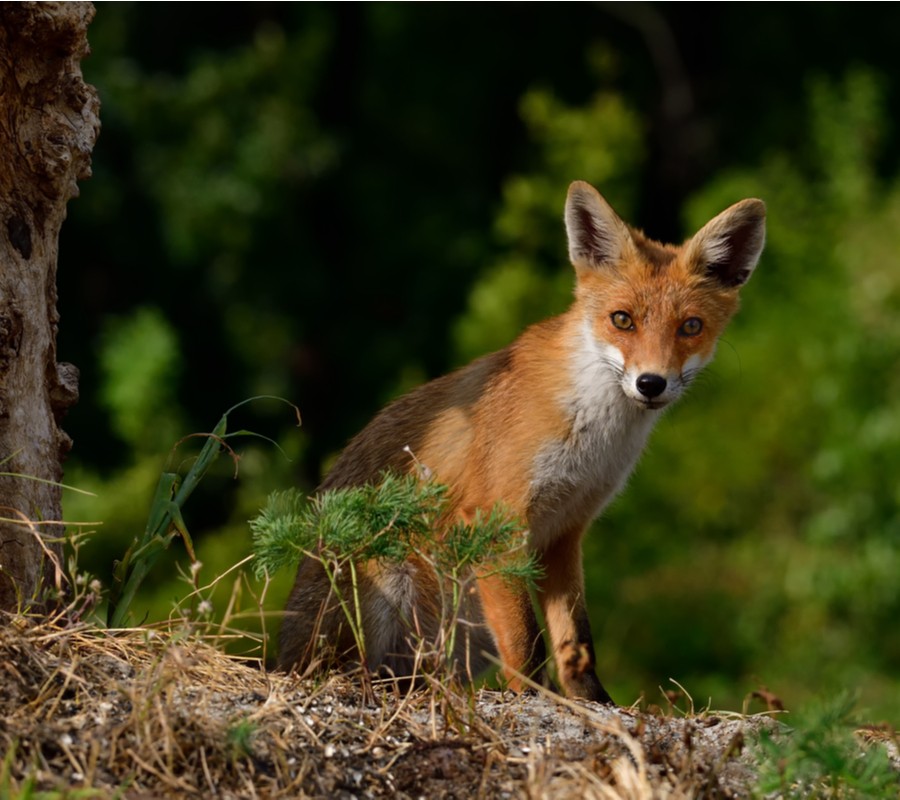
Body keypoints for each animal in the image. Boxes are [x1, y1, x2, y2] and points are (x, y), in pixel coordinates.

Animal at [279, 180, 765, 704]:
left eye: (690, 326)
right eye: (623, 320)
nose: (651, 384)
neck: (592, 440)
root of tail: (280, 658)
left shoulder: (565, 532)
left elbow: (576, 639)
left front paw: (594, 703)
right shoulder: (498, 524)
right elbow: (526, 641)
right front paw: (535, 697)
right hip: (387, 581)